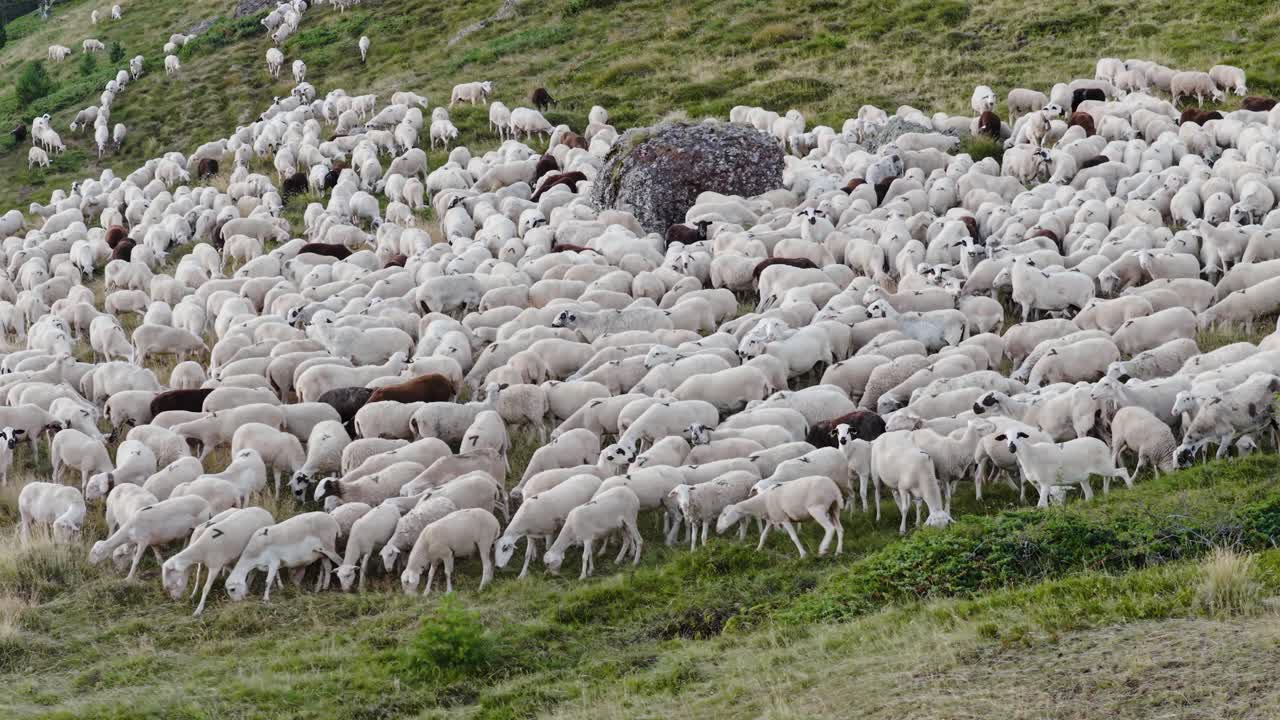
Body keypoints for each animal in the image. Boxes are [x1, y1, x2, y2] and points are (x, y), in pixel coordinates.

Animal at [715, 475, 843, 556]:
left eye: (725, 514)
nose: (717, 529)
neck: (763, 502)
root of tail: (833, 487)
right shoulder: (771, 520)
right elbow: (763, 536)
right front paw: (757, 550)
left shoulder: (783, 518)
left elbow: (794, 537)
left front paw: (803, 554)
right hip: (834, 509)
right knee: (840, 529)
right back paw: (838, 552)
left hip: (817, 509)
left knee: (830, 529)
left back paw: (823, 549)